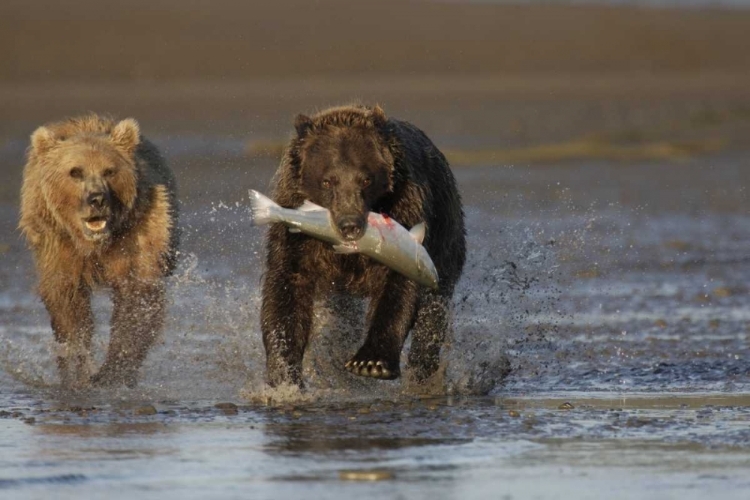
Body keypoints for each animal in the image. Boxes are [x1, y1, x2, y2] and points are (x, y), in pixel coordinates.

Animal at [19, 114, 179, 390]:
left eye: (109, 171)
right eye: (75, 171)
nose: (97, 199)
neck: (94, 244)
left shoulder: (138, 234)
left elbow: (137, 298)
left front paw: (112, 371)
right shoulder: (59, 244)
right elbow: (68, 305)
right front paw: (78, 370)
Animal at [262, 103, 468, 388]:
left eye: (366, 179)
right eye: (328, 180)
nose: (350, 225)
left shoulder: (406, 211)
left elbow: (398, 288)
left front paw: (371, 362)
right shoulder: (295, 229)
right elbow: (286, 286)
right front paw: (283, 372)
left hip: (446, 239)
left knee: (432, 314)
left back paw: (422, 373)